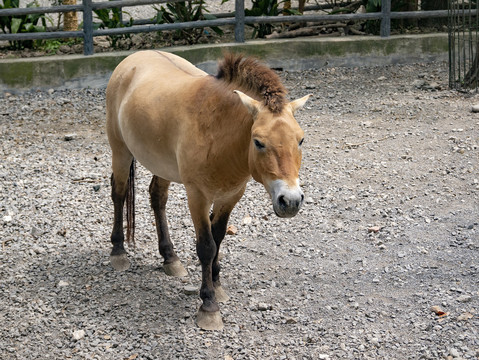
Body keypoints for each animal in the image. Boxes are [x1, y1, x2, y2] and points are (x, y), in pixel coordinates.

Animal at [107, 50, 314, 332]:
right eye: (258, 142)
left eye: (301, 140)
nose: (290, 201)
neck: (217, 131)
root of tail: (132, 59)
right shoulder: (197, 196)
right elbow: (206, 246)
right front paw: (208, 306)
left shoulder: (231, 196)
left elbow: (218, 238)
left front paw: (216, 285)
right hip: (120, 151)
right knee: (118, 193)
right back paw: (118, 252)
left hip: (162, 165)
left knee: (157, 198)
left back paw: (170, 258)